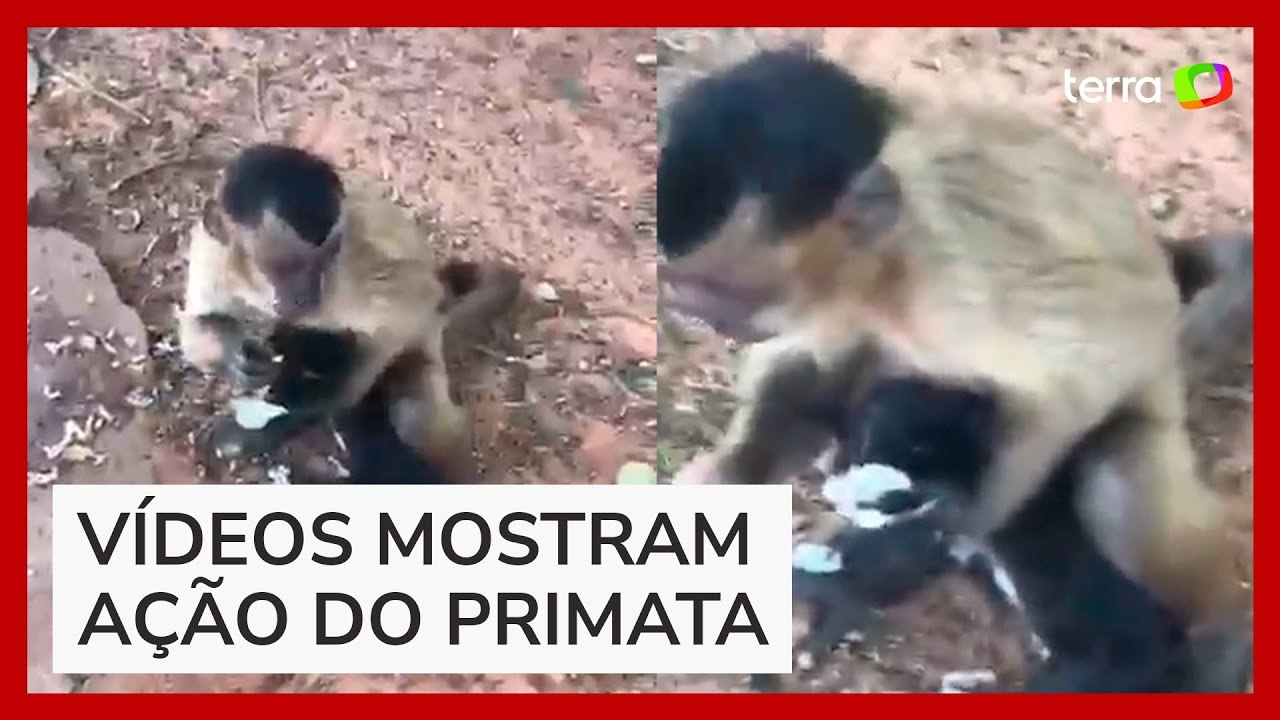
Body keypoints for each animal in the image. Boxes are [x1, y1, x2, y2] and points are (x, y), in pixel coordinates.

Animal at [178, 142, 522, 479]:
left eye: (327, 257)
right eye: (286, 266)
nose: (307, 295)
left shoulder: (349, 268)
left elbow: (408, 304)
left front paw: (306, 410)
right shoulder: (213, 253)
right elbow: (199, 322)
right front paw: (240, 359)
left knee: (412, 412)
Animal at [657, 48, 1252, 641]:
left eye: (717, 295)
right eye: (687, 290)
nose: (703, 317)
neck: (887, 258)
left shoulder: (945, 284)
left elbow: (1061, 397)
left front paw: (884, 554)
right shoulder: (841, 295)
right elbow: (801, 360)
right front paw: (733, 479)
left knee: (1110, 480)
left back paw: (1220, 633)